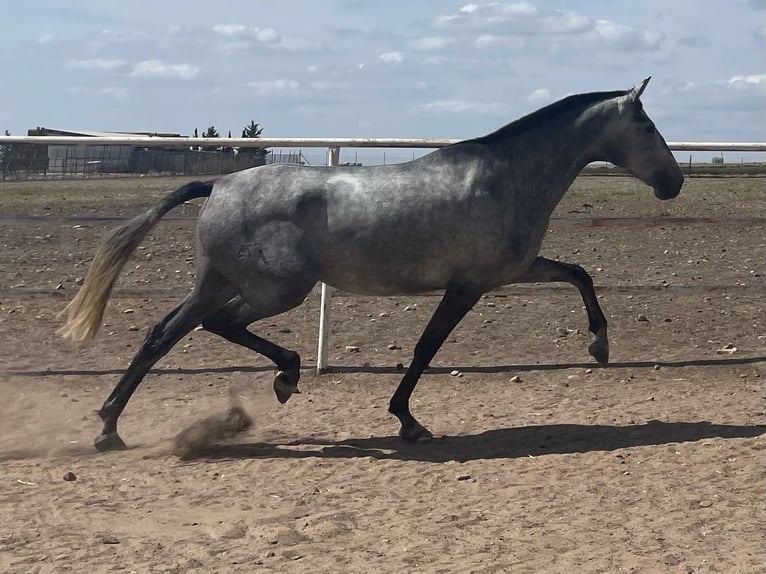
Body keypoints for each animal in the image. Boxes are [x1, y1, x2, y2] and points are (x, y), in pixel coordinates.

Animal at [60, 77, 684, 454]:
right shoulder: (468, 286)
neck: (506, 177)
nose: (674, 183)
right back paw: (286, 376)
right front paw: (408, 421)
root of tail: (219, 184)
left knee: (161, 333)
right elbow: (426, 348)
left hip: (219, 282)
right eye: (648, 127)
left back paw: (110, 427)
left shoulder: (508, 273)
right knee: (217, 325)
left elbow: (579, 273)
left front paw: (600, 345)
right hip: (276, 290)